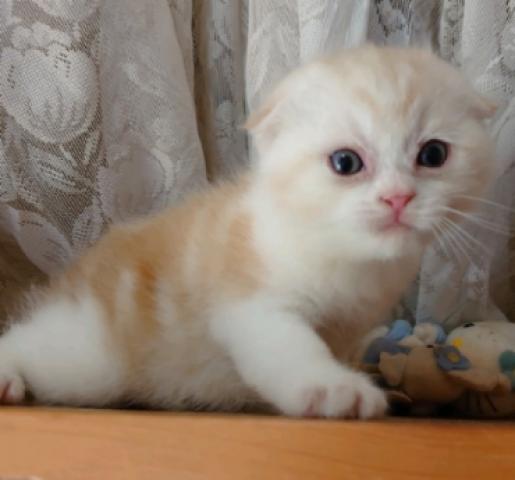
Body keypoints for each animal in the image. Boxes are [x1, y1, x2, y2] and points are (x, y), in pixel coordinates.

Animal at [0, 45, 495, 418]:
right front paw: (334, 388)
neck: (342, 252)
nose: (398, 198)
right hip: (90, 357)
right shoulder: (251, 305)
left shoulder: (352, 324)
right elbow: (292, 346)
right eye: (346, 162)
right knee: (29, 343)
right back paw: (9, 377)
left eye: (433, 155)